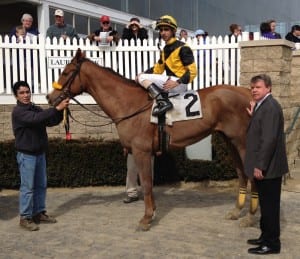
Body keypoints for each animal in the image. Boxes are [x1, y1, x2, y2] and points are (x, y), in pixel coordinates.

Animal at [47, 48, 258, 232]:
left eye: (66, 72)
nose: (50, 97)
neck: (129, 104)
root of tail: (248, 92)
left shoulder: (141, 151)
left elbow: (147, 183)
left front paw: (146, 219)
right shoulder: (145, 152)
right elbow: (148, 182)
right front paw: (152, 212)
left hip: (243, 142)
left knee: (252, 174)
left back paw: (250, 217)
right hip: (230, 141)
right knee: (241, 173)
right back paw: (236, 211)